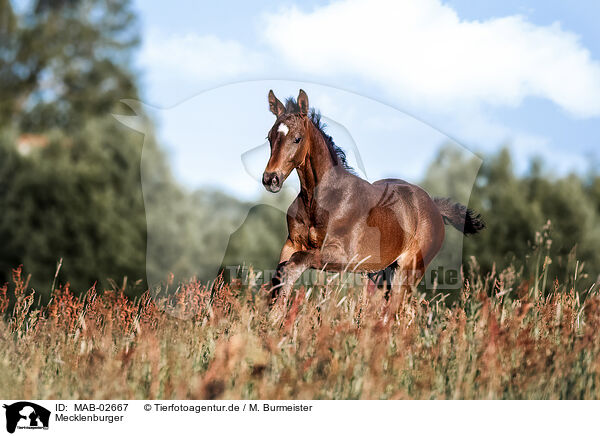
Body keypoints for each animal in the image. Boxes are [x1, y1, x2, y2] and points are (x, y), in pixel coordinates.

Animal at [262, 88, 482, 300]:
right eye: (269, 137)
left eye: (297, 139)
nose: (270, 179)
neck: (320, 200)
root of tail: (434, 206)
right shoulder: (291, 244)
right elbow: (280, 273)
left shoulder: (343, 255)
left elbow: (295, 263)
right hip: (381, 273)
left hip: (409, 271)